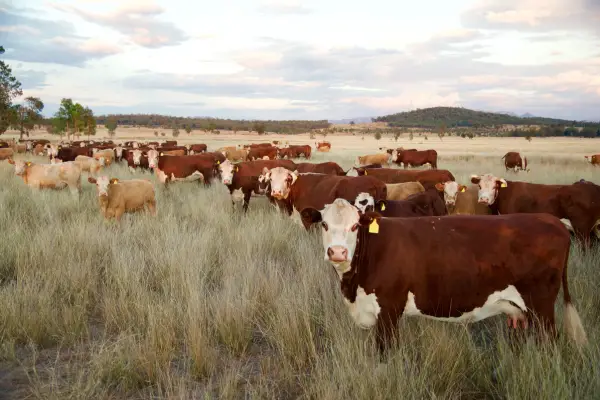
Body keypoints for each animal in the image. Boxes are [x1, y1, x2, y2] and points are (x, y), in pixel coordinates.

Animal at [300, 199, 584, 354]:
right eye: (324, 224)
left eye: (355, 226)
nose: (337, 252)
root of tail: (553, 221)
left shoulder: (389, 312)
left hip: (542, 307)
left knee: (549, 342)